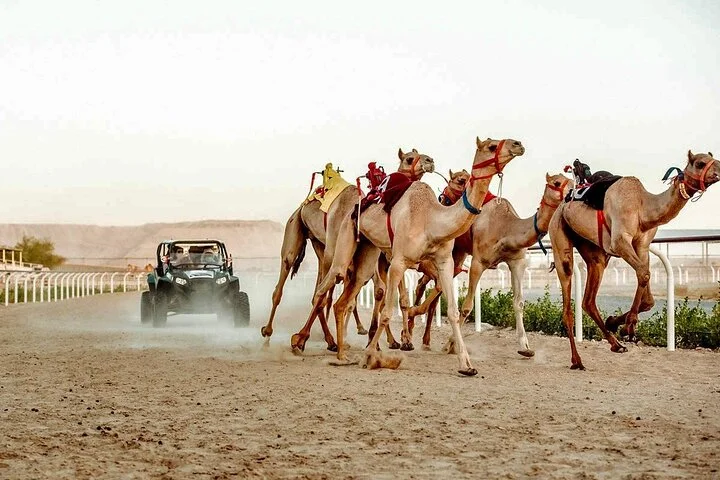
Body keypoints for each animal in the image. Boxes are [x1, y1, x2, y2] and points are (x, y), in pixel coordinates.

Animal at [262, 152, 434, 350]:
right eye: (409, 158)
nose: (430, 161)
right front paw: (301, 338)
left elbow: (392, 295)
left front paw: (399, 341)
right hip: (299, 229)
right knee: (285, 279)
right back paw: (269, 334)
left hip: (320, 245)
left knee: (320, 290)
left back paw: (331, 340)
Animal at [316, 136, 524, 376]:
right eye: (491, 146)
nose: (518, 144)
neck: (431, 221)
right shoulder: (398, 262)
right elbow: (388, 311)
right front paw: (370, 356)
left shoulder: (445, 262)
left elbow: (452, 311)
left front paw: (466, 365)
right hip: (346, 234)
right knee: (328, 283)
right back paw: (312, 344)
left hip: (368, 251)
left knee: (344, 300)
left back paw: (342, 354)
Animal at [408, 171, 572, 354]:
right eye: (557, 183)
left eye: (572, 181)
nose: (573, 193)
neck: (506, 228)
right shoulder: (478, 262)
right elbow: (467, 306)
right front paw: (450, 345)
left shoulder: (517, 262)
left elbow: (519, 302)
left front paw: (525, 347)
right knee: (424, 282)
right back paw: (411, 329)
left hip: (458, 254)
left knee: (435, 284)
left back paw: (424, 339)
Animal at [548, 150, 716, 372]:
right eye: (700, 163)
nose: (718, 171)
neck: (643, 206)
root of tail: (561, 206)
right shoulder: (620, 242)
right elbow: (644, 274)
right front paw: (628, 326)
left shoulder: (642, 246)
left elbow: (648, 295)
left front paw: (615, 322)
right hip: (560, 239)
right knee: (568, 305)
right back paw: (577, 360)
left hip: (595, 254)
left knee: (588, 300)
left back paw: (616, 345)